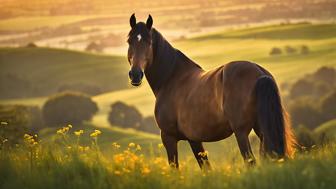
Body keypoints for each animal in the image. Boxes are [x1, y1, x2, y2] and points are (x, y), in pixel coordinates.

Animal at [126, 14, 294, 168]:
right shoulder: (194, 139)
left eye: (149, 42)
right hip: (261, 129)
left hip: (241, 132)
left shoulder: (168, 137)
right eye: (129, 41)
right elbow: (206, 167)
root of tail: (259, 72)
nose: (135, 74)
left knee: (250, 161)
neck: (172, 77)